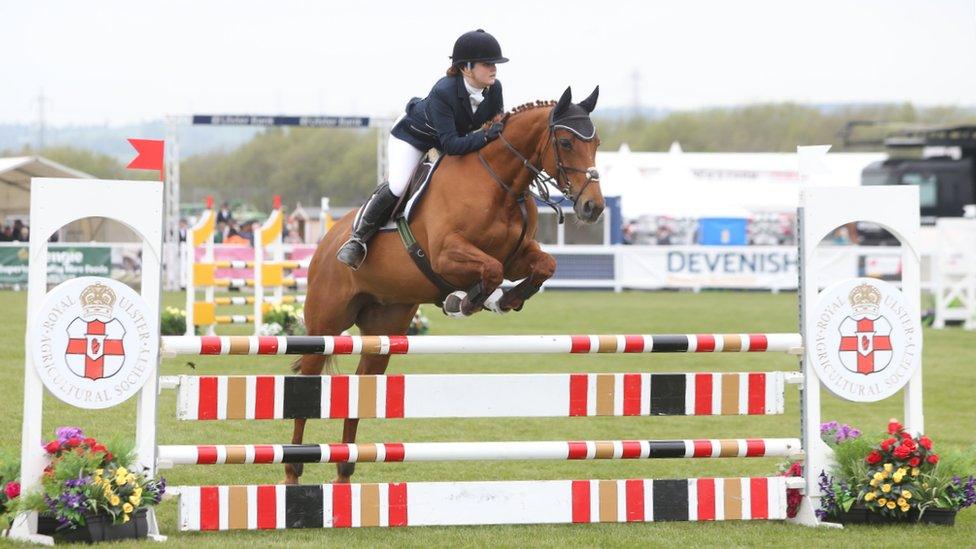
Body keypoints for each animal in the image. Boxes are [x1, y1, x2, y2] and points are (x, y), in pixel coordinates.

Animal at [284, 85, 604, 484]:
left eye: (596, 143)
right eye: (565, 141)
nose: (593, 207)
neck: (501, 183)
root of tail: (327, 241)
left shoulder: (518, 255)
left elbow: (544, 265)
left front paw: (506, 299)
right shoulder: (446, 255)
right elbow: (491, 270)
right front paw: (464, 302)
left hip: (383, 329)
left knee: (361, 385)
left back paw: (344, 475)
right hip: (325, 324)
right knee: (308, 381)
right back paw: (294, 471)